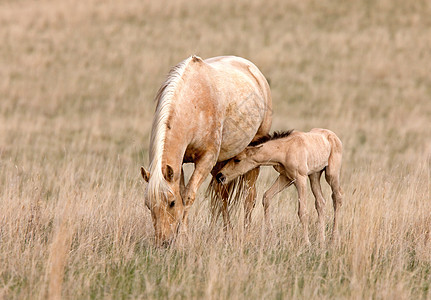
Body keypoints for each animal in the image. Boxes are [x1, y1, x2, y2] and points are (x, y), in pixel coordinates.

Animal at [216, 128, 344, 244]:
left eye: (238, 160)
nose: (220, 176)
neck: (286, 149)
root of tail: (333, 136)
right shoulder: (286, 177)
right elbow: (266, 197)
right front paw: (271, 236)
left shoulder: (300, 179)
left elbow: (302, 212)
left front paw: (306, 243)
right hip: (314, 176)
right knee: (320, 202)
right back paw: (321, 240)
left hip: (331, 174)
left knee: (337, 197)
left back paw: (333, 239)